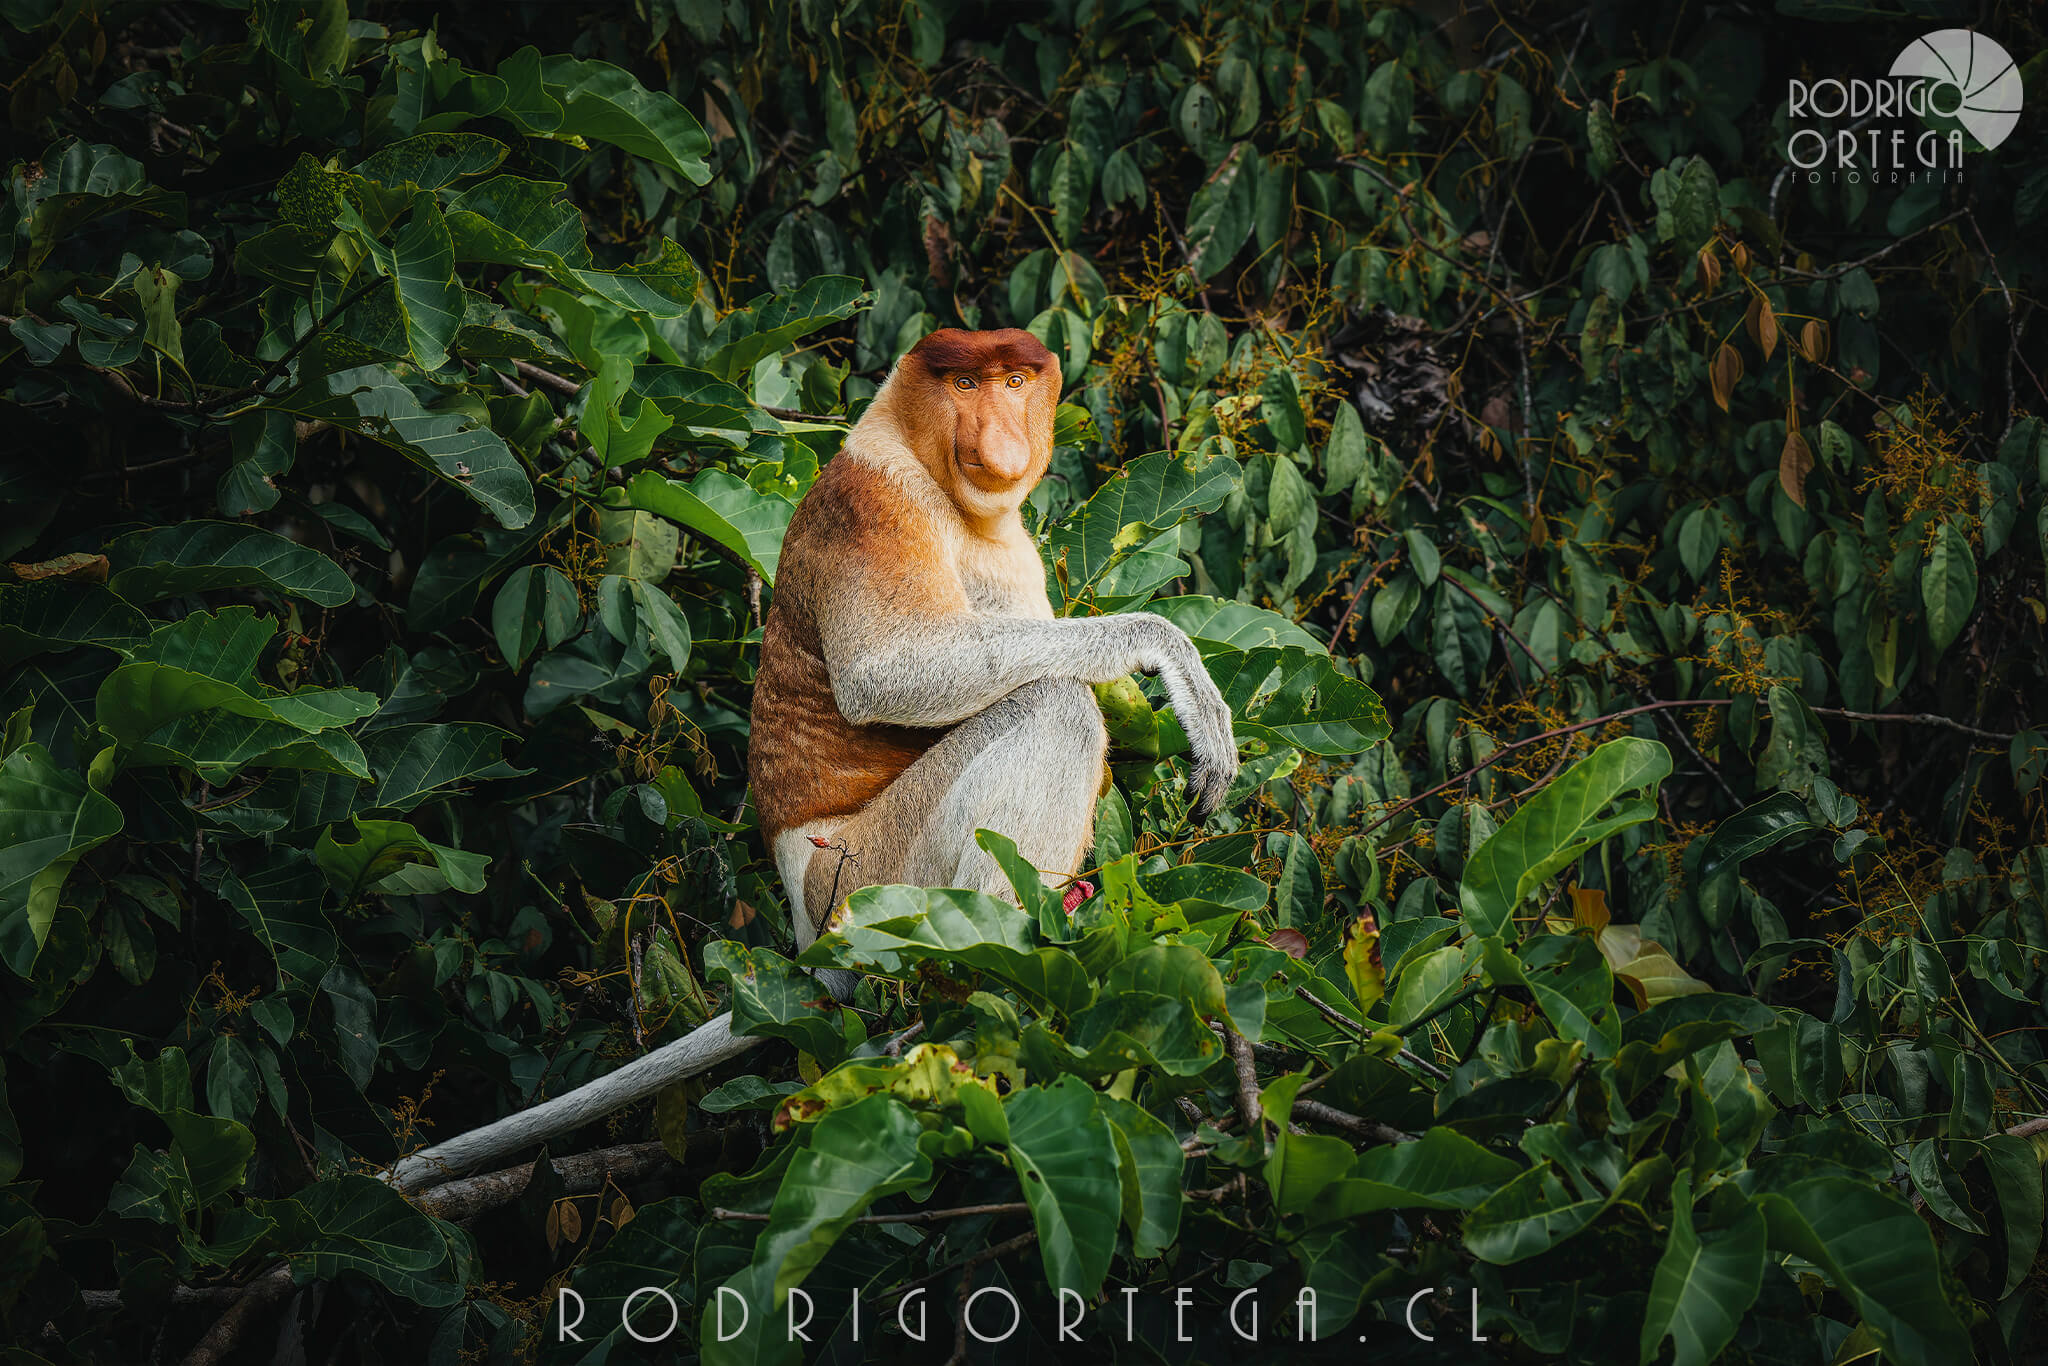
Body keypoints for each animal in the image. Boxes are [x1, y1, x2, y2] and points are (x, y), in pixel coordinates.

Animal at [748, 326, 1240, 950]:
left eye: (1014, 382)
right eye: (964, 383)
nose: (1002, 439)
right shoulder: (874, 503)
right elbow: (879, 670)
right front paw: (1178, 666)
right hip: (860, 877)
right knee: (1055, 704)